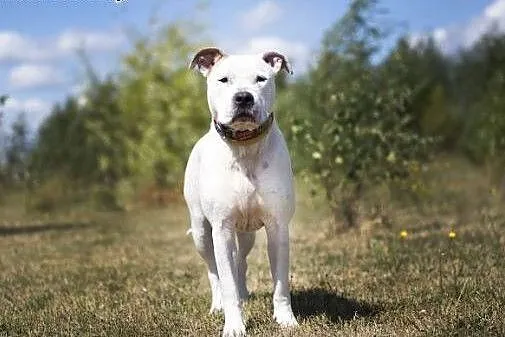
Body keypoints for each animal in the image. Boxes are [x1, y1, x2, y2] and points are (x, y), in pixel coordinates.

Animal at [184, 48, 296, 336]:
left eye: (261, 79)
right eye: (223, 79)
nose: (244, 96)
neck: (244, 146)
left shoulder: (278, 227)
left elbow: (280, 282)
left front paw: (285, 319)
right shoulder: (221, 228)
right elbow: (225, 281)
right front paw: (234, 326)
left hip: (247, 234)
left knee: (240, 261)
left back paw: (244, 292)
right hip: (201, 232)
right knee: (214, 270)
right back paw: (217, 304)